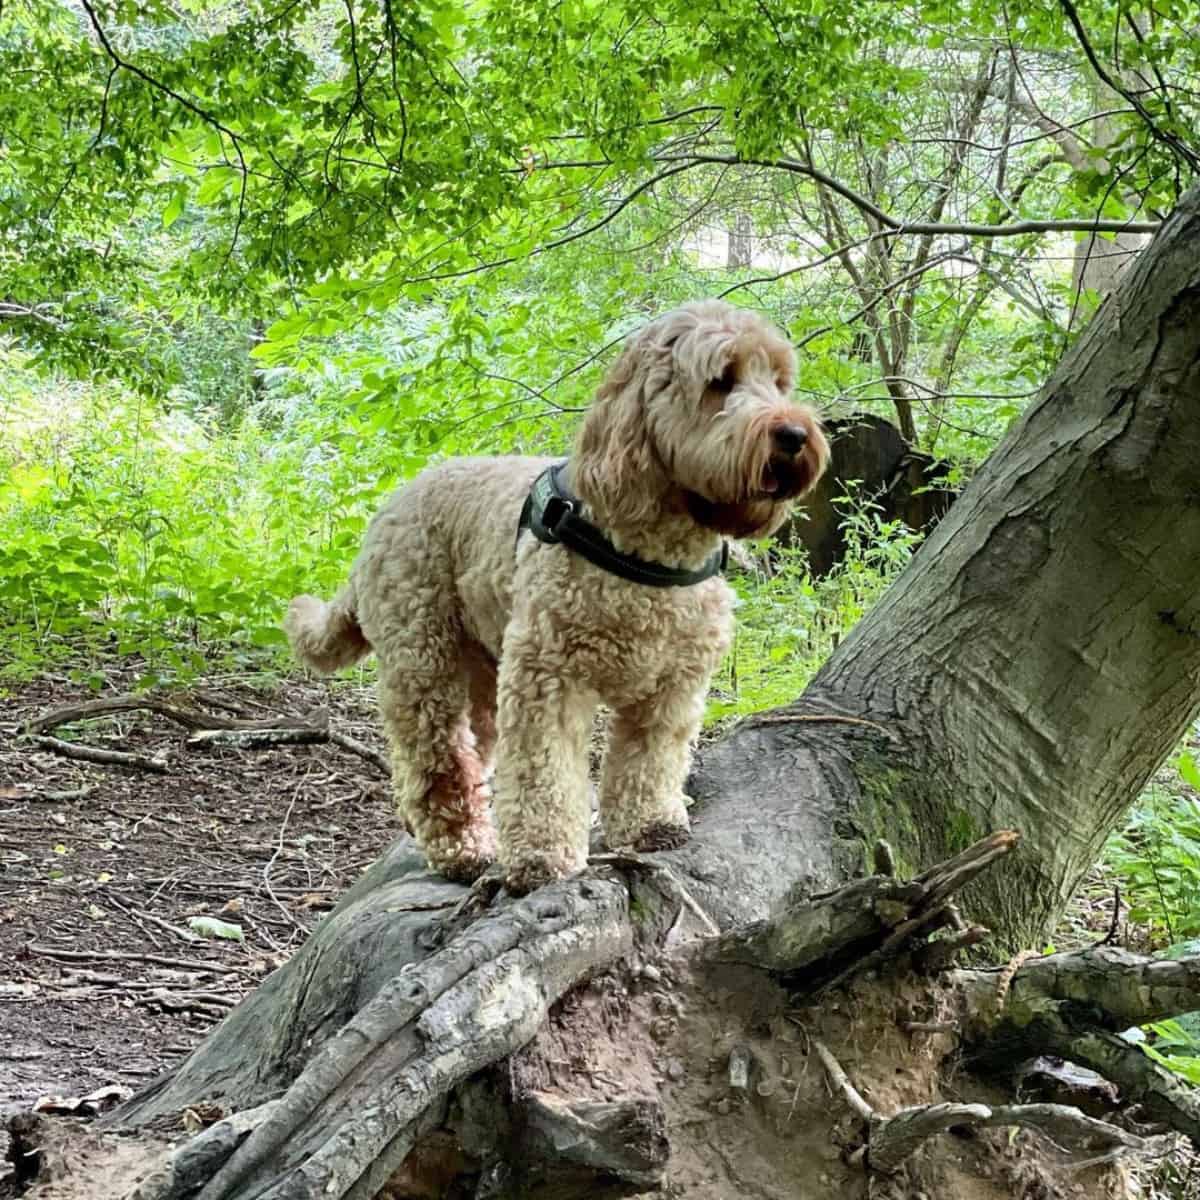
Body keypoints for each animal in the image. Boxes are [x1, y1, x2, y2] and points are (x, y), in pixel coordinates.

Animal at [285, 304, 830, 897]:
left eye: (779, 382)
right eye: (721, 381)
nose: (795, 433)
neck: (651, 553)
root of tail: (388, 510)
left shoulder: (673, 688)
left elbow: (651, 760)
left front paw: (650, 823)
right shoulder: (548, 678)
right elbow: (544, 773)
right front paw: (543, 857)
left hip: (484, 673)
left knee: (465, 755)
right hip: (424, 660)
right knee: (437, 763)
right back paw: (462, 848)